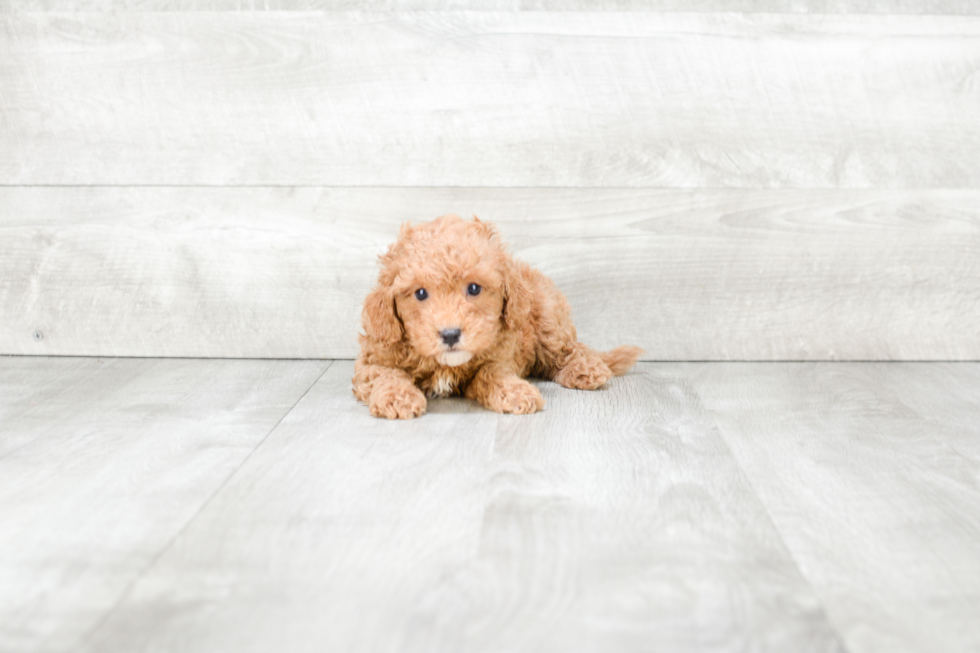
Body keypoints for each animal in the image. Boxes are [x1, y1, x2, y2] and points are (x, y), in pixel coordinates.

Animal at [352, 214, 644, 418]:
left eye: (473, 288)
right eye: (420, 293)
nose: (450, 334)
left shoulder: (501, 355)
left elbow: (491, 373)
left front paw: (515, 391)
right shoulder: (373, 359)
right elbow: (386, 374)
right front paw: (397, 398)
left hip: (548, 318)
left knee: (567, 350)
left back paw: (585, 368)